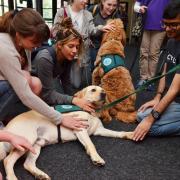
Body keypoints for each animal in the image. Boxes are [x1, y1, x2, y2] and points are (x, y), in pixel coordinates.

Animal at [0, 85, 133, 180]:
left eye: (103, 89)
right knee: (8, 160)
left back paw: (40, 175)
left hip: (36, 145)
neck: (91, 111)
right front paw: (96, 158)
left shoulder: (99, 130)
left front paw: (129, 134)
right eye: (93, 90)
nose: (104, 94)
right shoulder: (81, 130)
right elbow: (91, 144)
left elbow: (116, 132)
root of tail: (6, 128)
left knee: (27, 164)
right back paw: (12, 177)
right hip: (26, 140)